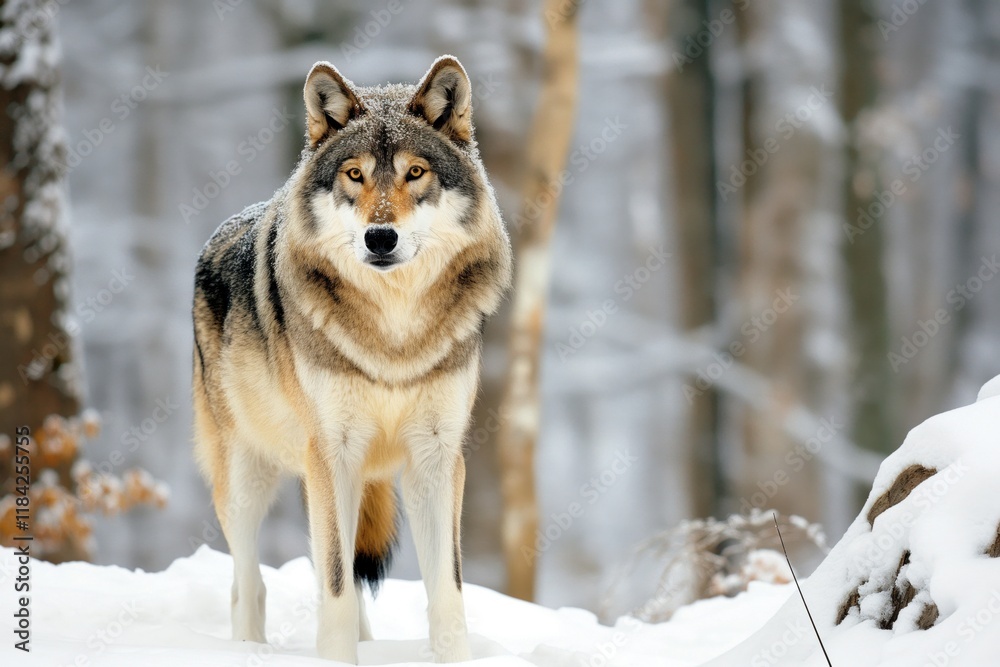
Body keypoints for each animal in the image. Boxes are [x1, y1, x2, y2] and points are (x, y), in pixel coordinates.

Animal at [191, 56, 512, 663]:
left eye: (415, 173)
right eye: (356, 175)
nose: (379, 237)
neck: (394, 338)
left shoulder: (436, 458)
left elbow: (447, 590)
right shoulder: (331, 455)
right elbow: (337, 583)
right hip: (247, 478)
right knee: (249, 585)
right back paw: (247, 646)